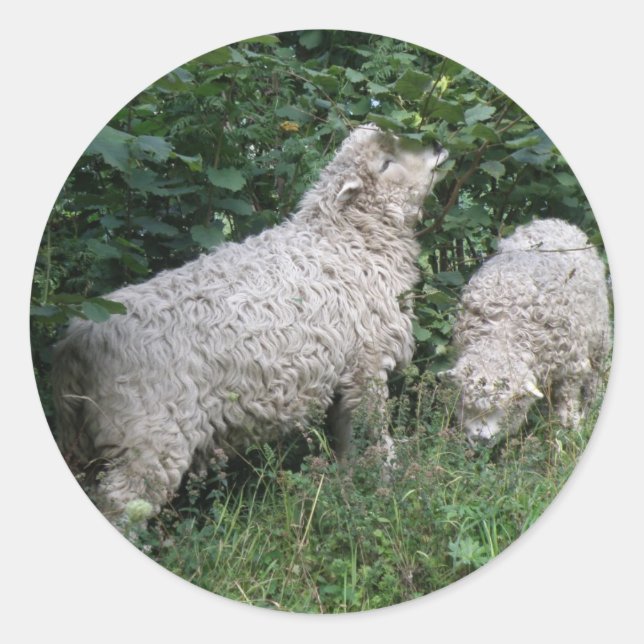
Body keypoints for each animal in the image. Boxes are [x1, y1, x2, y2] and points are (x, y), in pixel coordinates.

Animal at [52, 124, 449, 522]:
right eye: (386, 163)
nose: (437, 145)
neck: (348, 239)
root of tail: (78, 338)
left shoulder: (345, 371)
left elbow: (346, 433)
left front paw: (349, 481)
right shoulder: (366, 363)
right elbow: (371, 430)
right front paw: (385, 481)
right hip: (147, 434)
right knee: (121, 502)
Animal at [441, 218, 611, 445]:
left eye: (505, 406)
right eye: (467, 403)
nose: (480, 439)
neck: (502, 332)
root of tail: (552, 221)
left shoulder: (572, 367)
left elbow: (566, 403)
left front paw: (569, 430)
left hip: (600, 338)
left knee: (595, 378)